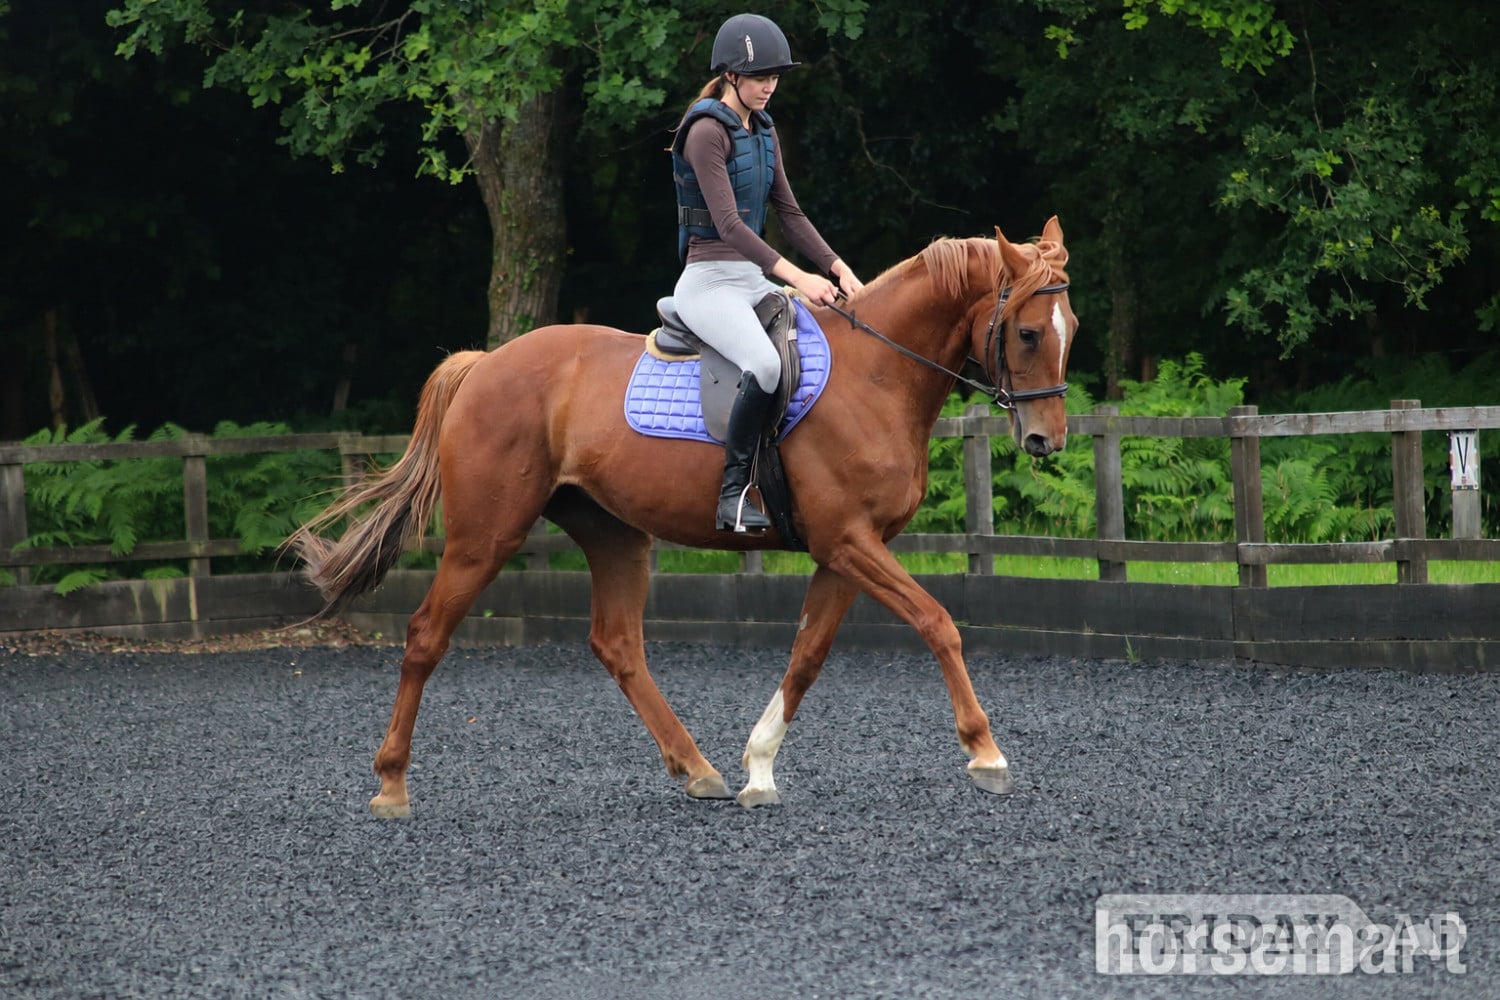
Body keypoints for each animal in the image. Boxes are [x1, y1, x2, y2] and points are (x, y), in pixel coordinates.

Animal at [287, 216, 1076, 816]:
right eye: (1029, 333)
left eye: (1069, 325)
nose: (1047, 440)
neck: (876, 374)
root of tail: (483, 364)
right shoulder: (851, 543)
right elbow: (938, 622)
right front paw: (986, 753)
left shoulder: (847, 549)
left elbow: (808, 656)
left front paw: (758, 769)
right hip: (486, 536)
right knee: (426, 635)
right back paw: (391, 785)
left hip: (614, 535)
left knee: (617, 644)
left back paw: (697, 769)